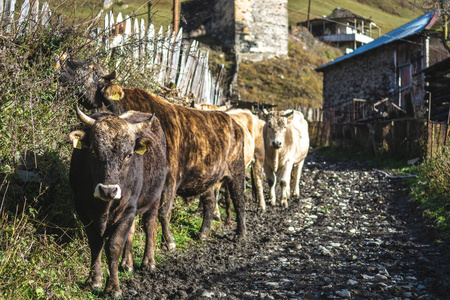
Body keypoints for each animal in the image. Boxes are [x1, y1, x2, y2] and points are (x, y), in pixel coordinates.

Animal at [59, 56, 246, 251]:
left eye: (89, 69)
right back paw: (203, 233)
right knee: (209, 202)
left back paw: (240, 233)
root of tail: (233, 122)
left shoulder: (170, 179)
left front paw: (168, 241)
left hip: (237, 171)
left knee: (239, 201)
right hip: (209, 178)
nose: (62, 67)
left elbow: (163, 212)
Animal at [69, 108, 168, 298]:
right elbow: (96, 244)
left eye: (128, 155)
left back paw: (148, 262)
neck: (103, 208)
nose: (108, 190)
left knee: (149, 226)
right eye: (94, 151)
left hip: (154, 199)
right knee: (132, 232)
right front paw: (94, 280)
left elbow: (114, 246)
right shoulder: (83, 211)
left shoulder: (128, 211)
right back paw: (127, 264)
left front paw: (113, 287)